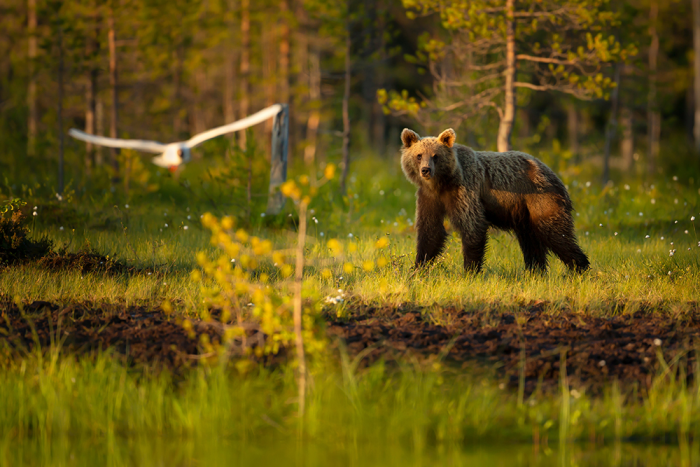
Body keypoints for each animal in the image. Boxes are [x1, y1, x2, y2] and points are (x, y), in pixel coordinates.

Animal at [400, 128, 592, 274]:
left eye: (435, 156)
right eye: (419, 155)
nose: (426, 170)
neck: (442, 184)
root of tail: (553, 173)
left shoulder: (465, 191)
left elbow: (472, 226)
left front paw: (470, 271)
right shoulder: (430, 198)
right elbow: (430, 231)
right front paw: (417, 268)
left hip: (541, 198)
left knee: (556, 234)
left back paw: (580, 268)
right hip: (524, 214)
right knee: (531, 242)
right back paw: (535, 271)